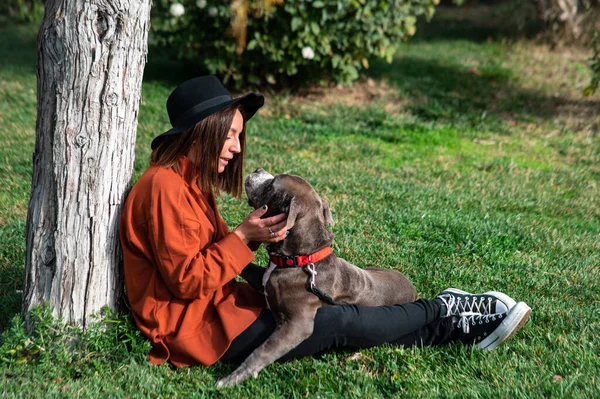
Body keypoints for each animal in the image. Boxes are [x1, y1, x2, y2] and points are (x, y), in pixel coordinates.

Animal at [217, 168, 418, 388]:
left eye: (271, 185)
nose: (257, 170)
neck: (301, 259)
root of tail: (412, 288)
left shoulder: (298, 324)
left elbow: (263, 349)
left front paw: (233, 378)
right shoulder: (263, 279)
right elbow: (245, 265)